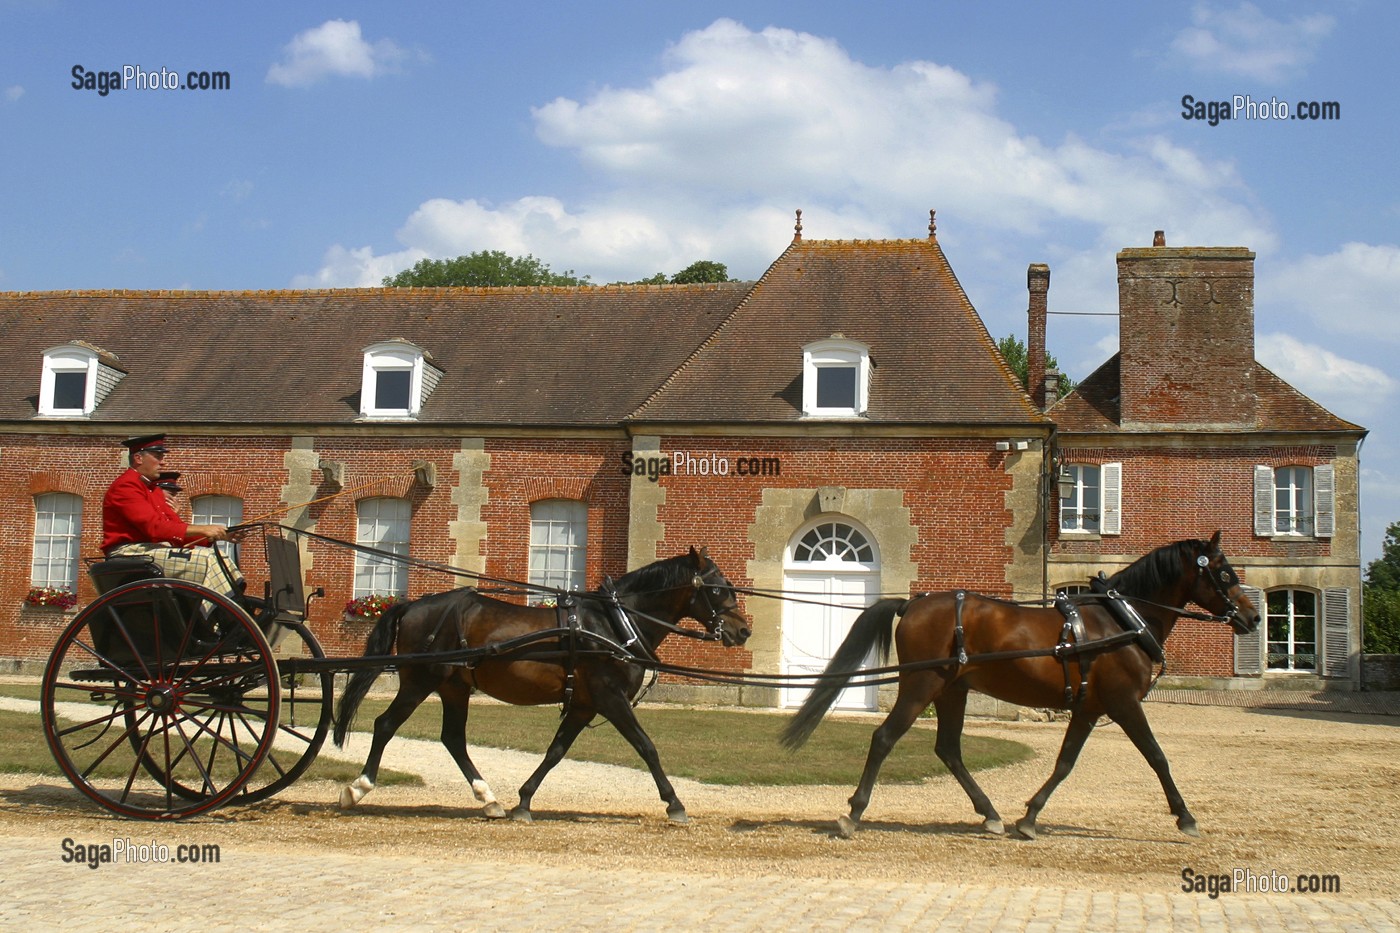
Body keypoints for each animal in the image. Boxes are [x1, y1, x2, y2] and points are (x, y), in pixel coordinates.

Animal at [331, 546, 750, 823]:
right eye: (717, 588)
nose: (743, 630)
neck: (613, 625)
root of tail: (414, 604)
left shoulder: (583, 705)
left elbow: (555, 752)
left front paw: (523, 801)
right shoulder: (610, 698)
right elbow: (647, 747)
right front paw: (674, 803)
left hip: (455, 687)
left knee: (452, 738)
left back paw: (489, 799)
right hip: (420, 682)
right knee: (386, 725)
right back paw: (358, 788)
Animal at [789, 535, 1260, 840]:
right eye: (1224, 573)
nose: (1253, 617)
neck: (1121, 621)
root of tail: (913, 603)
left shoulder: (1089, 708)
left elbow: (1065, 762)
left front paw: (1030, 816)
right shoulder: (1124, 703)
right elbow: (1158, 757)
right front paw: (1185, 816)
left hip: (952, 690)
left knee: (948, 749)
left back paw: (990, 813)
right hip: (921, 686)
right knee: (885, 737)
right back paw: (854, 813)